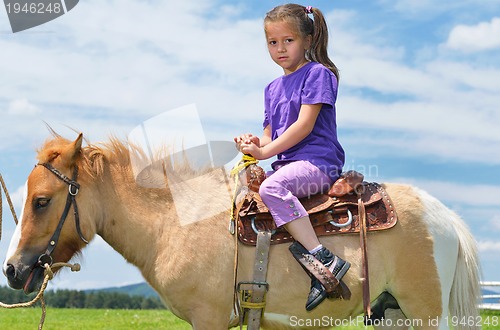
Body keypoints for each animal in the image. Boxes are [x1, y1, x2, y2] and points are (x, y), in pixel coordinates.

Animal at [2, 133, 480, 328]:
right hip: (391, 313)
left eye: (41, 200)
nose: (11, 269)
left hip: (423, 313)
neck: (174, 223)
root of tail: (445, 217)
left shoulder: (209, 319)